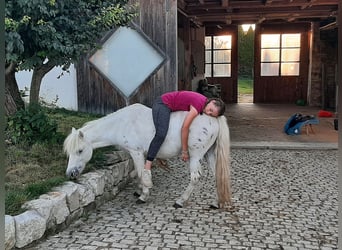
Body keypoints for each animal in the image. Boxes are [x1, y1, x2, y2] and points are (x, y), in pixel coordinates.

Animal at [63, 102, 232, 208]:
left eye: (79, 150)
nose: (70, 173)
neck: (120, 123)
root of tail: (214, 118)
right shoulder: (140, 154)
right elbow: (136, 173)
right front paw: (140, 188)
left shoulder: (136, 152)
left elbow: (139, 172)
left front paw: (143, 195)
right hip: (209, 154)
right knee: (217, 175)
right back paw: (217, 202)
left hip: (196, 156)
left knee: (195, 178)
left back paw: (180, 201)